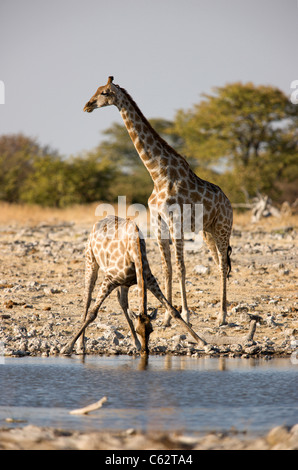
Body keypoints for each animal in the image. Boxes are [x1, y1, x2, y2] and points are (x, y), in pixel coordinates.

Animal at [83, 77, 233, 326]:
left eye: (104, 92)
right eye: (95, 90)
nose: (87, 106)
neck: (158, 175)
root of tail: (229, 203)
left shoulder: (176, 223)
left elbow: (181, 268)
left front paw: (185, 314)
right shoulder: (158, 222)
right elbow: (167, 268)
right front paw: (167, 317)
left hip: (223, 228)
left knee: (222, 265)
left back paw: (222, 316)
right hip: (208, 231)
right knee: (219, 262)